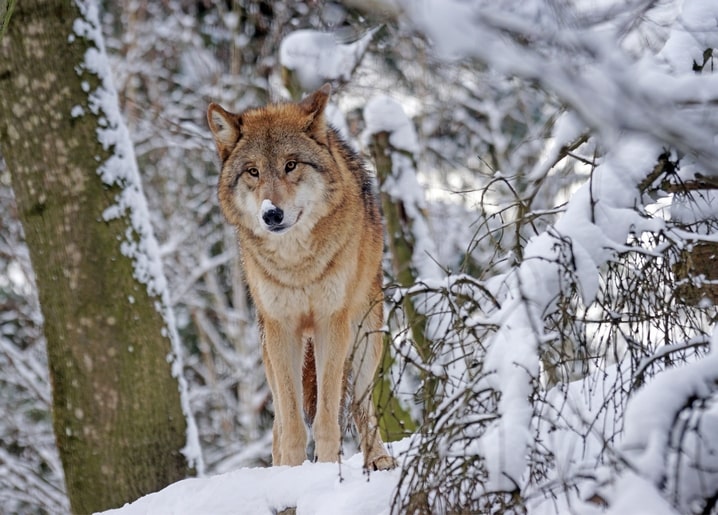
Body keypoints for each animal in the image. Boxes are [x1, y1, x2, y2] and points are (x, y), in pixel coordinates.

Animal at [208, 83, 396, 472]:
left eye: (290, 165)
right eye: (253, 172)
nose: (271, 214)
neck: (297, 265)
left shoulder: (330, 322)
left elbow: (326, 415)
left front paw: (325, 467)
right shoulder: (282, 329)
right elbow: (292, 422)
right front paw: (291, 473)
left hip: (366, 338)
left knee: (360, 404)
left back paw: (378, 458)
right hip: (268, 349)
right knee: (279, 422)